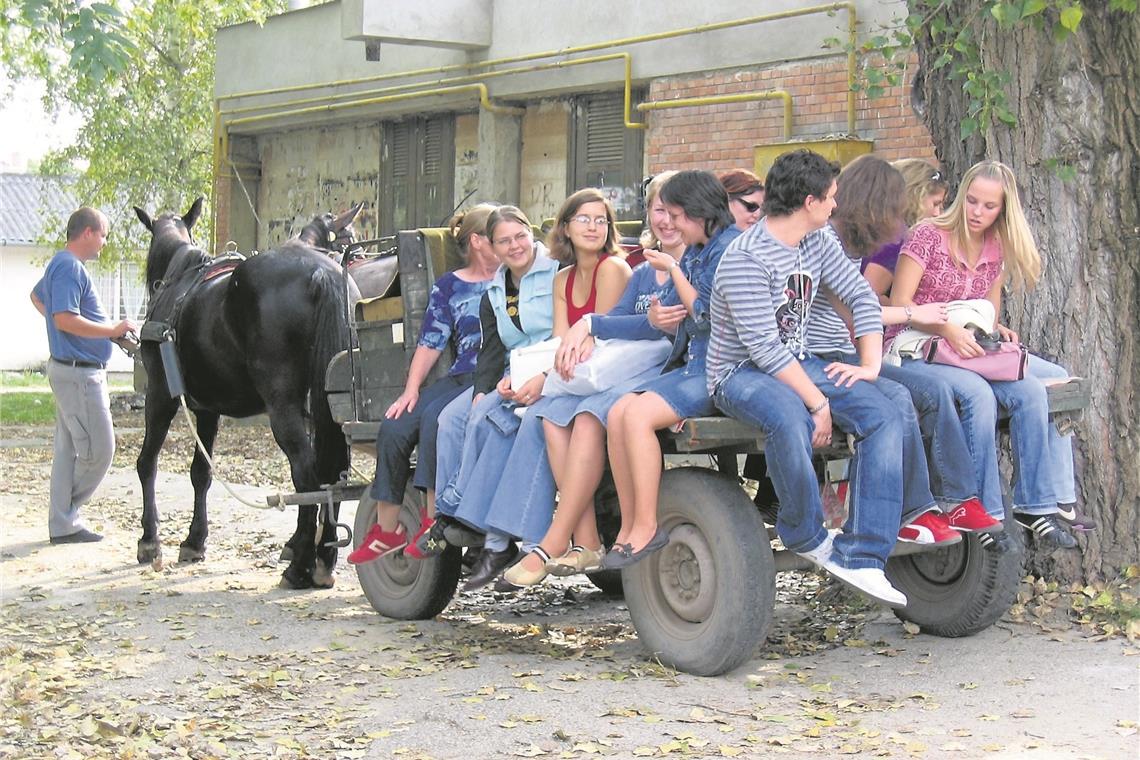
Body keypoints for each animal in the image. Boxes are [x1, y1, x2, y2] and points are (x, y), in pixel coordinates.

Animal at [132, 198, 364, 587]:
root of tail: (323, 274)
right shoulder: (208, 408)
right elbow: (201, 473)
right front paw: (195, 540)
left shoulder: (161, 395)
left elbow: (148, 462)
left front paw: (150, 540)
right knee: (332, 474)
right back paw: (323, 558)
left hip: (281, 405)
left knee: (306, 474)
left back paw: (300, 565)